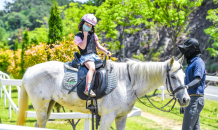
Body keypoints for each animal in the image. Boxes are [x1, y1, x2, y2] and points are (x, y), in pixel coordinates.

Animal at [17, 56, 190, 129]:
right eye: (173, 76)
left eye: (184, 75)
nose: (186, 100)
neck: (127, 82)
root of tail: (30, 70)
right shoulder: (107, 117)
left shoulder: (121, 117)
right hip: (40, 107)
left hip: (49, 105)